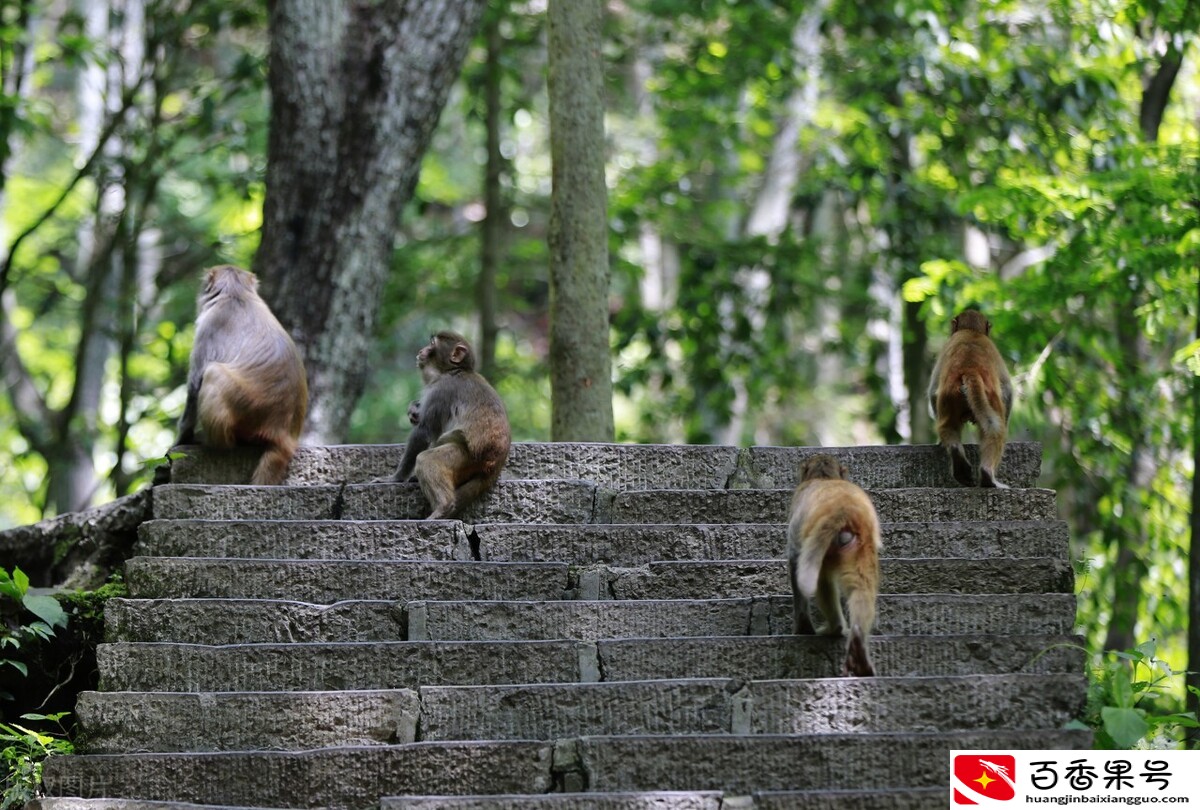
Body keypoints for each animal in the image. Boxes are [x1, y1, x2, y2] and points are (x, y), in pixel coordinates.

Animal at [178, 266, 312, 484]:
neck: (237, 293)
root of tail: (283, 433)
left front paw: (182, 438)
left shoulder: (210, 325)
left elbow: (195, 384)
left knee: (213, 372)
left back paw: (216, 444)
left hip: (247, 408)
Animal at [379, 333, 511, 523]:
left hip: (466, 457)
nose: (421, 350)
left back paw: (443, 508)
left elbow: (423, 432)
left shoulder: (442, 389)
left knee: (427, 459)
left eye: (432, 344)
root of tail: (496, 462)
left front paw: (395, 478)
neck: (453, 371)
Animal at [787, 456, 883, 676]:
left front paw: (802, 627)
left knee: (821, 581)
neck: (824, 477)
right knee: (861, 587)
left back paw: (835, 628)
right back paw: (858, 646)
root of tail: (843, 510)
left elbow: (794, 559)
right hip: (859, 546)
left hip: (828, 548)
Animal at [926, 309, 1012, 487]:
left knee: (948, 427)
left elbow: (933, 391)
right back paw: (987, 476)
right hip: (990, 398)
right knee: (994, 428)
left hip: (949, 398)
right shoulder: (994, 350)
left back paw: (958, 461)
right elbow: (1007, 390)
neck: (972, 332)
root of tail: (969, 370)